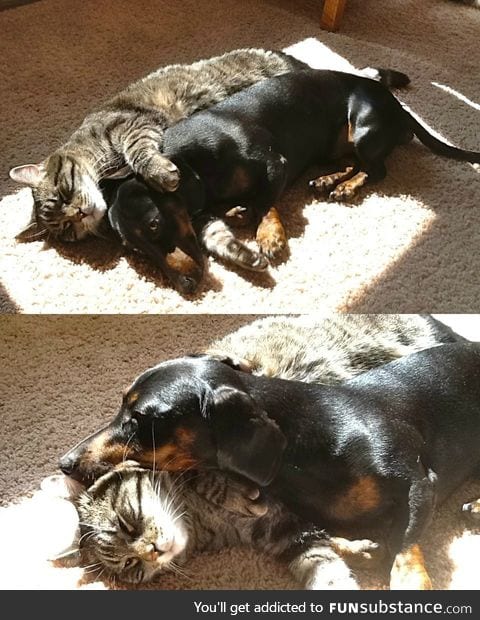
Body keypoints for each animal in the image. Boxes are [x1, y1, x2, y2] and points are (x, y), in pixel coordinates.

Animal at [8, 49, 304, 243]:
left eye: (63, 193)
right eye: (66, 228)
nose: (79, 214)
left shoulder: (133, 124)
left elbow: (138, 151)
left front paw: (161, 173)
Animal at [75, 462, 376, 588]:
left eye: (125, 524)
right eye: (131, 565)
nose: (153, 552)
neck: (199, 518)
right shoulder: (282, 531)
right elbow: (323, 564)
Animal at [106, 65, 480, 290]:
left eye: (154, 225)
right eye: (137, 252)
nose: (182, 288)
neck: (195, 165)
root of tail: (399, 108)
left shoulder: (275, 164)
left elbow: (265, 202)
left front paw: (269, 235)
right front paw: (243, 218)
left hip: (364, 130)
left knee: (376, 170)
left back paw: (346, 186)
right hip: (337, 147)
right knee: (353, 163)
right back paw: (329, 181)